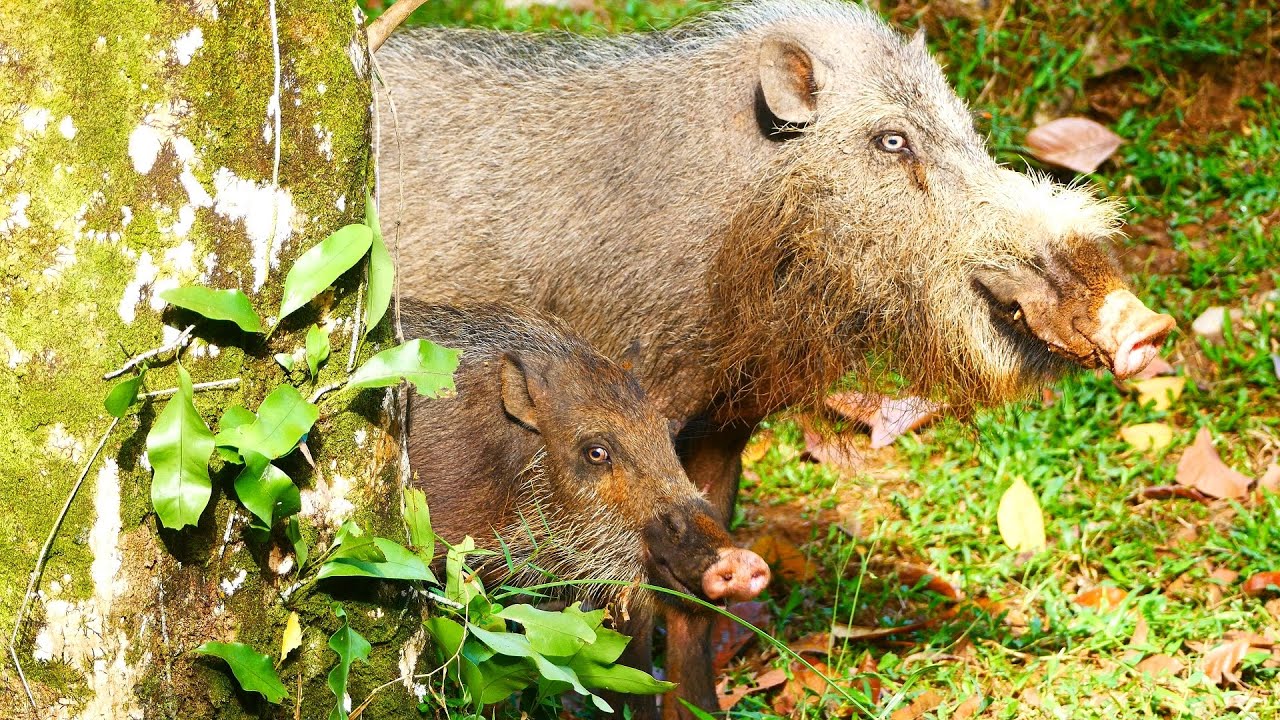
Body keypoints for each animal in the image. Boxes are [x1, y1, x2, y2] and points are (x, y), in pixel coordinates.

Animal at [375, 1, 1175, 715]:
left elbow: (699, 605)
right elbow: (631, 614)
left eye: (970, 132)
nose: (1144, 324)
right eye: (891, 141)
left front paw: (704, 710)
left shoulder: (722, 425)